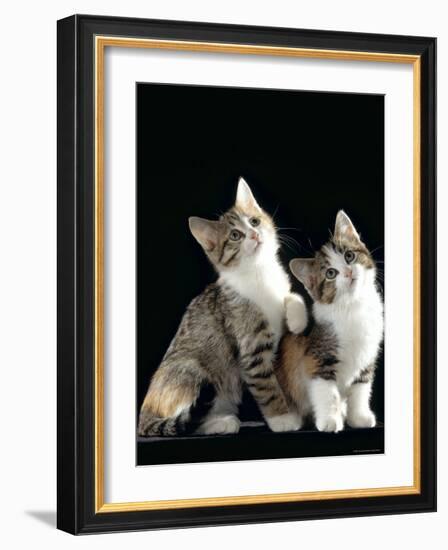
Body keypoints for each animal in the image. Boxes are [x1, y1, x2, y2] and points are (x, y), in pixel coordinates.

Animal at [138, 179, 306, 438]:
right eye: (235, 235)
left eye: (254, 221)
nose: (255, 234)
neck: (260, 273)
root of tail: (144, 412)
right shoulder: (252, 348)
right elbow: (267, 387)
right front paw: (282, 418)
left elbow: (291, 296)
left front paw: (297, 319)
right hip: (192, 370)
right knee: (187, 421)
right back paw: (223, 423)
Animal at [274, 213, 384, 434]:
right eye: (331, 273)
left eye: (349, 256)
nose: (348, 272)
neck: (352, 306)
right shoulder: (318, 356)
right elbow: (326, 391)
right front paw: (329, 421)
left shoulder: (367, 356)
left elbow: (361, 388)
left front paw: (358, 417)